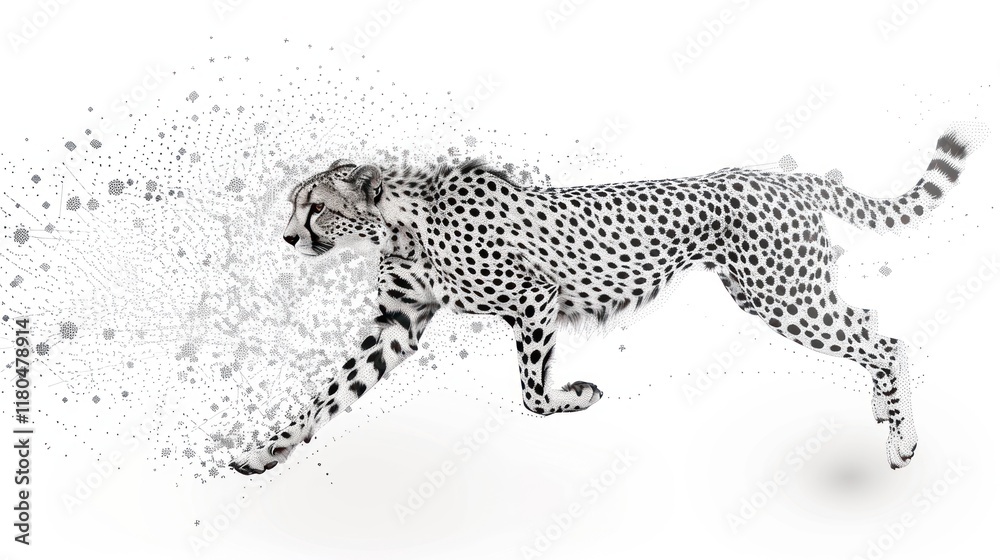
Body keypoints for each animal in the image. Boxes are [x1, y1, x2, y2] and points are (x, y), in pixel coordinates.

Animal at [230, 122, 987, 475]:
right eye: (297, 205)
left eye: (317, 208)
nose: (288, 235)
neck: (402, 223)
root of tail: (779, 176)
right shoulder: (398, 322)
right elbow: (327, 394)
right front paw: (264, 453)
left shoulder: (536, 298)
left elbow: (532, 395)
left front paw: (580, 394)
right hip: (789, 290)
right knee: (869, 322)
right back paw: (883, 416)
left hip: (779, 294)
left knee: (882, 337)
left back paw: (903, 440)